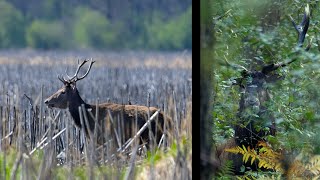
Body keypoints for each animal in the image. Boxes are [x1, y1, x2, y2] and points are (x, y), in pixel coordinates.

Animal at [44, 59, 172, 153]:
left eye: (63, 92)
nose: (46, 101)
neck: (89, 117)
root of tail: (167, 118)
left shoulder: (107, 138)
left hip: (154, 137)